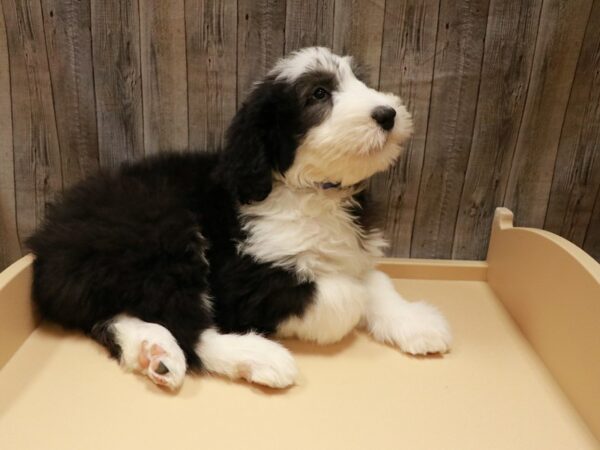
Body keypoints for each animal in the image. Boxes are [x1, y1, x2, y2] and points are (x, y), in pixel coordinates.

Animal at [28, 46, 450, 390]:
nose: (388, 114)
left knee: (116, 313)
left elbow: (375, 279)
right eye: (318, 94)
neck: (309, 191)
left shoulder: (354, 248)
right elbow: (345, 294)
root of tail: (49, 240)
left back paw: (155, 353)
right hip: (162, 229)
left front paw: (416, 322)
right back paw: (256, 357)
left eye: (359, 80)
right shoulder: (241, 280)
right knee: (187, 324)